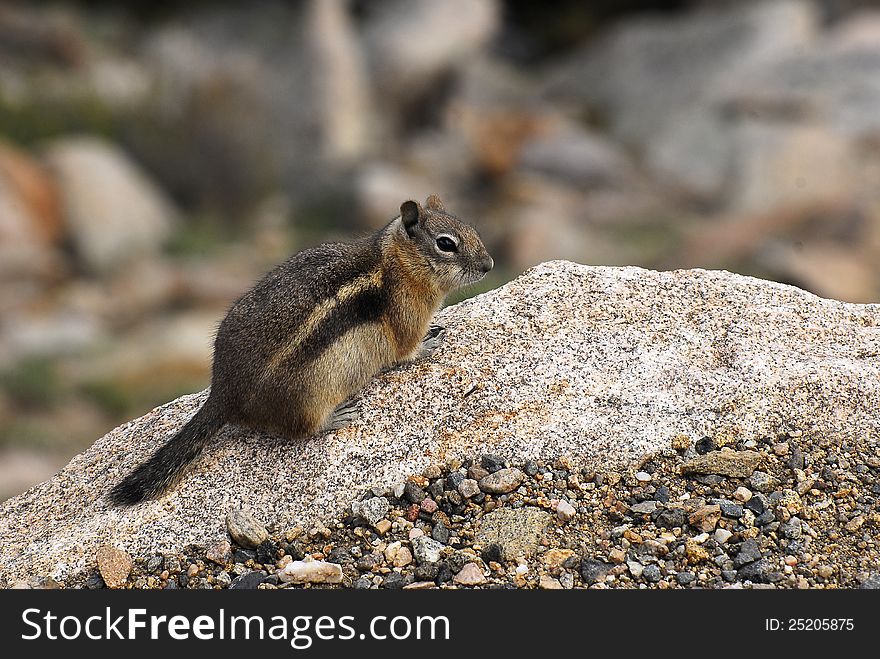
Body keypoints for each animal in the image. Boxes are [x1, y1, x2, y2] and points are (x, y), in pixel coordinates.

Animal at [106, 195, 492, 506]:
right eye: (446, 244)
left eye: (472, 230)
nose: (488, 265)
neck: (395, 263)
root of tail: (224, 392)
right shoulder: (405, 320)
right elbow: (408, 350)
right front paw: (431, 342)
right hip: (308, 397)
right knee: (300, 429)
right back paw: (336, 417)